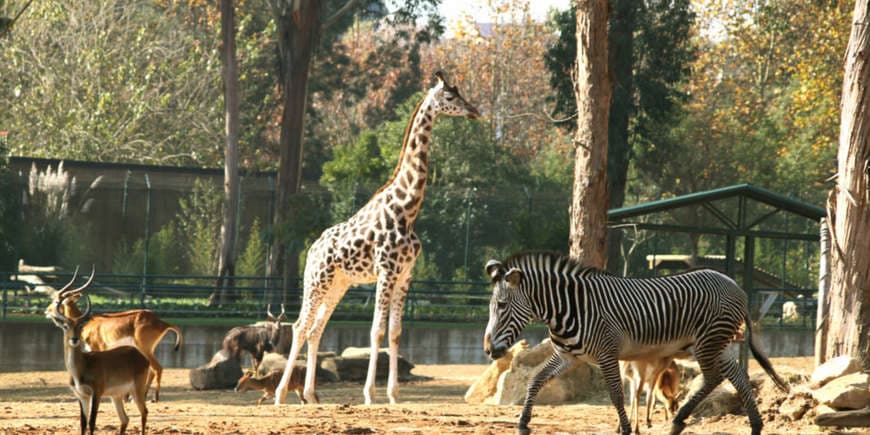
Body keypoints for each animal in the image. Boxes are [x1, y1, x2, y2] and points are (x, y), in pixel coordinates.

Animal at [45, 268, 184, 404]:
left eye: (57, 301)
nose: (47, 311)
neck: (87, 323)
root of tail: (161, 322)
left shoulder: (98, 348)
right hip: (147, 350)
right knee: (152, 369)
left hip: (144, 348)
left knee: (157, 368)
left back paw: (153, 398)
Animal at [47, 272, 150, 435]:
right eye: (65, 326)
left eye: (81, 326)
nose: (74, 339)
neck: (81, 368)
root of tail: (140, 355)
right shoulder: (81, 396)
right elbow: (83, 423)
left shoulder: (97, 393)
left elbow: (92, 422)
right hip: (116, 396)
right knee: (125, 419)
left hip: (136, 390)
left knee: (144, 412)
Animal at [276, 70, 480, 408]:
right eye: (450, 97)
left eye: (462, 94)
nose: (475, 111)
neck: (407, 209)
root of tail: (312, 249)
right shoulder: (386, 272)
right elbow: (376, 332)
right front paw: (370, 394)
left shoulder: (405, 274)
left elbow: (395, 332)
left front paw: (394, 395)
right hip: (316, 282)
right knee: (299, 326)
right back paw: (281, 395)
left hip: (339, 285)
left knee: (317, 329)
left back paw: (311, 394)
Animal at [484, 252, 792, 435]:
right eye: (491, 306)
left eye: (501, 306)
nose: (488, 350)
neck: (569, 309)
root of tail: (737, 286)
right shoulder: (566, 356)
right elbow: (535, 381)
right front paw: (523, 423)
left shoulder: (607, 354)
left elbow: (617, 395)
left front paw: (625, 429)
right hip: (717, 344)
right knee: (737, 375)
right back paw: (755, 424)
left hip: (708, 341)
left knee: (714, 377)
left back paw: (679, 420)